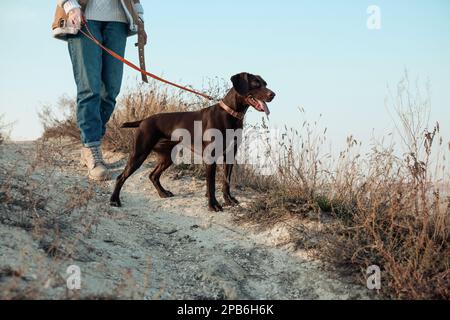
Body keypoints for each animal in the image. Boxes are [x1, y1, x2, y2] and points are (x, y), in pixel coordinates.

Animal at [110, 73, 276, 212]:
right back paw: (114, 200)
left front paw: (228, 200)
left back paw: (163, 193)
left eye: (265, 83)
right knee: (121, 177)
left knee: (153, 175)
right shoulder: (210, 158)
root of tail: (143, 120)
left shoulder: (229, 156)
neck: (230, 114)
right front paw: (213, 205)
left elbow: (226, 181)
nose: (273, 94)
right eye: (255, 84)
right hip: (139, 153)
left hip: (167, 157)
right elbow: (211, 185)